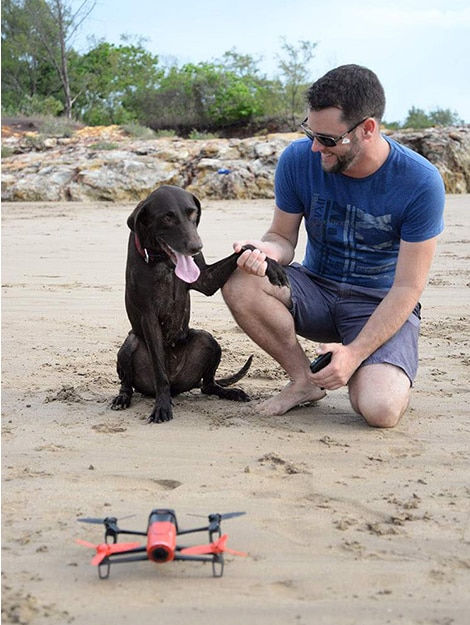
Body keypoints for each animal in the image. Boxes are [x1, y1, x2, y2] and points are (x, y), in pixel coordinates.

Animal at [111, 183, 286, 422]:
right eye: (167, 217)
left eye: (192, 213)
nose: (196, 247)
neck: (165, 262)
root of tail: (177, 384)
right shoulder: (149, 317)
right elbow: (159, 372)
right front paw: (162, 407)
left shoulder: (206, 280)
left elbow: (245, 248)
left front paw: (271, 264)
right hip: (130, 344)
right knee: (128, 381)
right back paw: (123, 397)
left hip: (207, 340)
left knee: (208, 385)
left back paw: (229, 392)